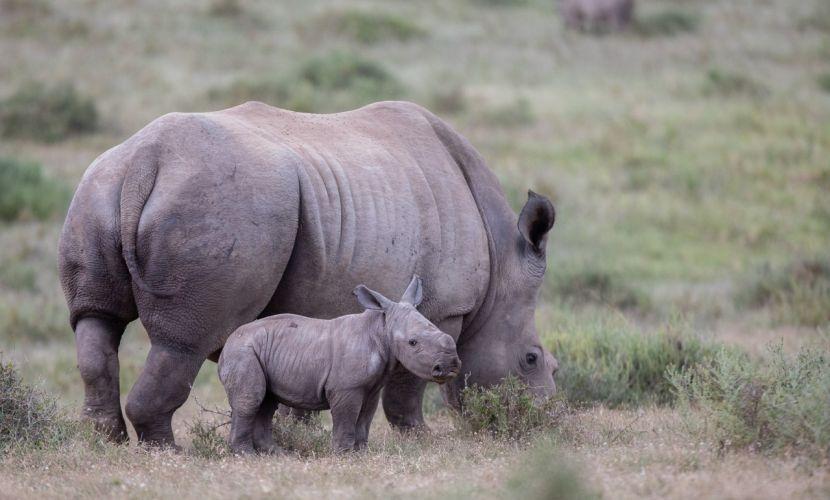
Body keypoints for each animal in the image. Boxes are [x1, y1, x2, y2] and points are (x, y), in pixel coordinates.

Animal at [218, 276, 462, 456]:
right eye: (413, 343)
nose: (449, 365)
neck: (381, 329)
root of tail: (227, 343)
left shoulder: (372, 387)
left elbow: (365, 418)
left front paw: (362, 453)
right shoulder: (346, 388)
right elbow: (347, 418)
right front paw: (343, 455)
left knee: (267, 402)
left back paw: (278, 455)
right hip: (242, 351)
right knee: (252, 399)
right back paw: (246, 456)